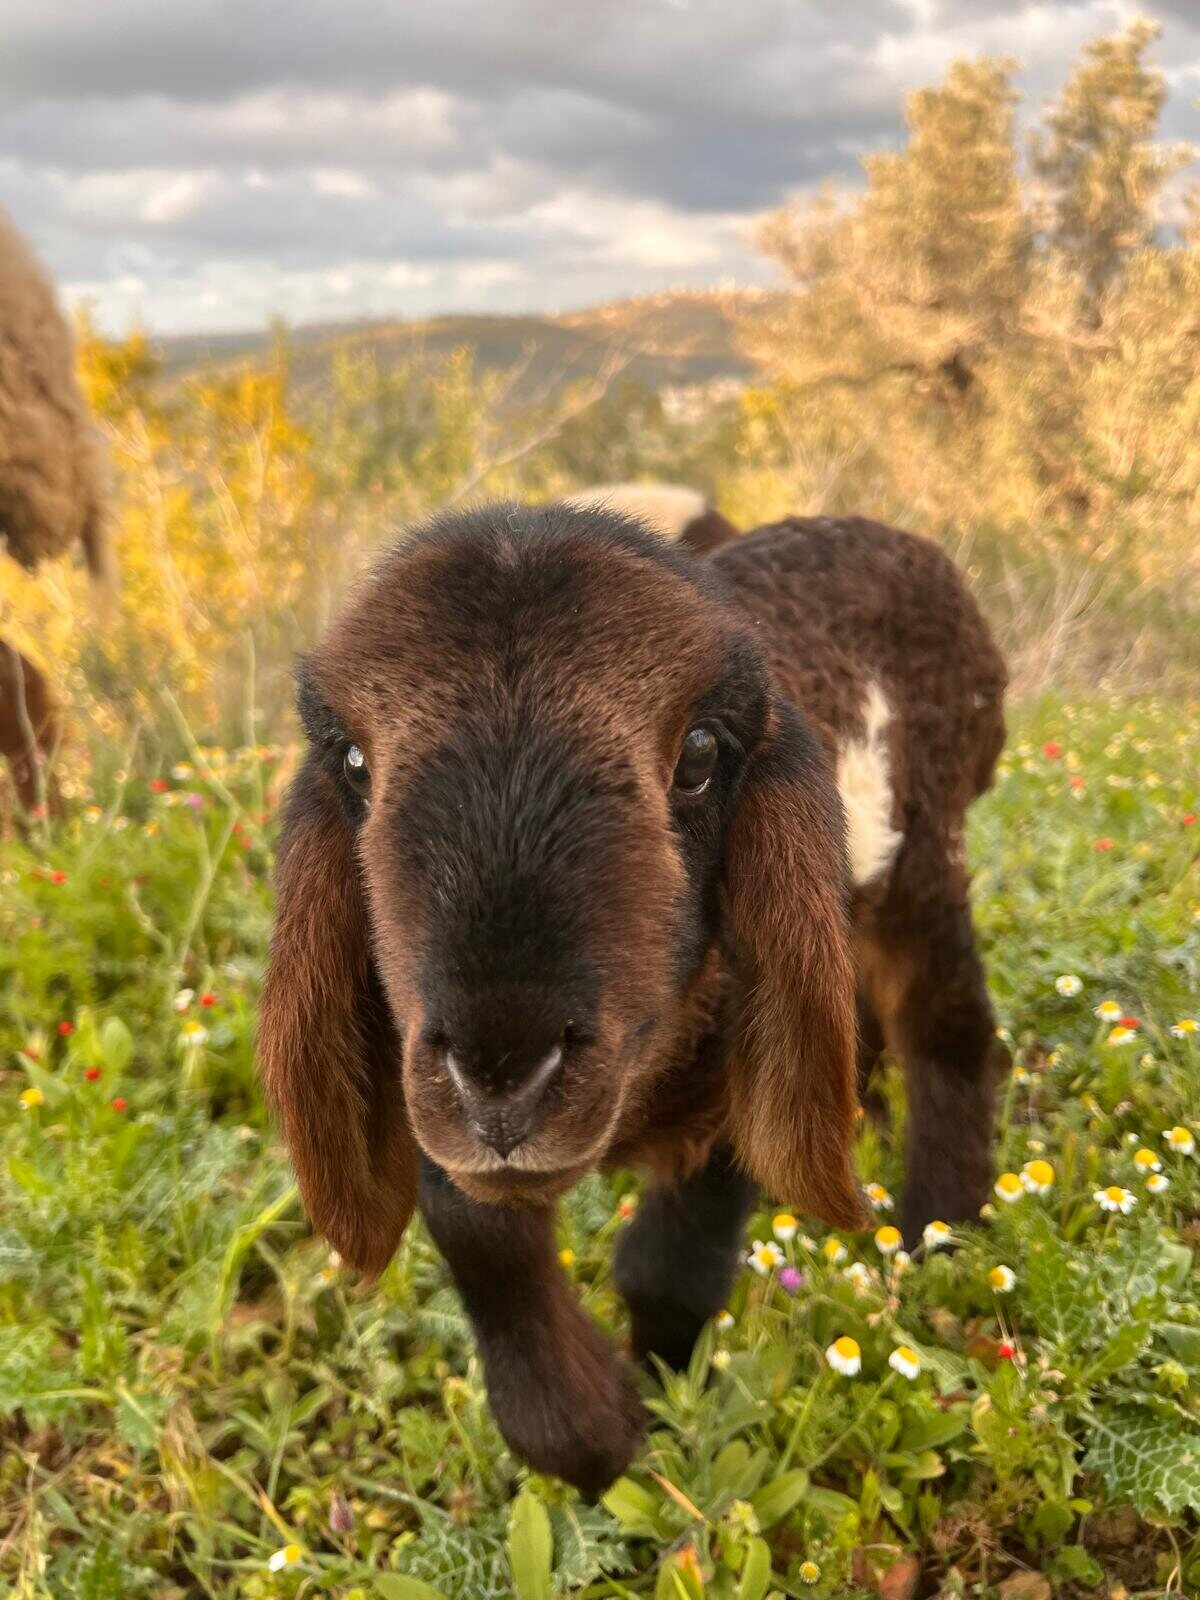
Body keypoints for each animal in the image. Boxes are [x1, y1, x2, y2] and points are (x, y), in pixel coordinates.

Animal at [260, 502, 1007, 1493]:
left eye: (700, 752)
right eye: (352, 761)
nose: (505, 1070)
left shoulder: (735, 1079)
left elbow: (671, 1269)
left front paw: (659, 1397)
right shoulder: (425, 1078)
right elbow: (480, 1236)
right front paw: (590, 1435)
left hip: (925, 852)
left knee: (949, 1027)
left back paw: (938, 1222)